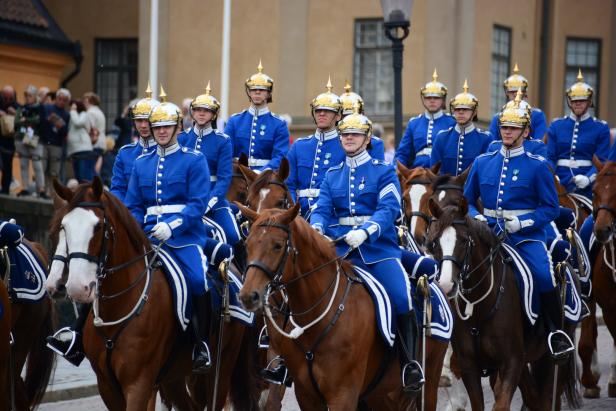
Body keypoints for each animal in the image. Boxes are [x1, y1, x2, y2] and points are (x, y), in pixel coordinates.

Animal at [46, 178, 260, 411]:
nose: (76, 287)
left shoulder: (139, 382)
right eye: (64, 228)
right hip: (174, 377)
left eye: (99, 226)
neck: (120, 304)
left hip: (220, 370)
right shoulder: (107, 386)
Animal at [426, 198, 580, 410]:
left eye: (464, 241)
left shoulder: (511, 362)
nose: (447, 285)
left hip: (554, 358)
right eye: (435, 242)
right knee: (534, 396)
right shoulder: (469, 366)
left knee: (548, 397)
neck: (479, 306)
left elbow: (502, 403)